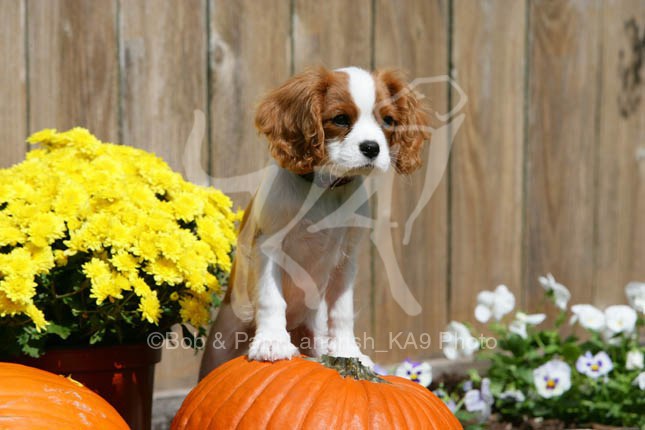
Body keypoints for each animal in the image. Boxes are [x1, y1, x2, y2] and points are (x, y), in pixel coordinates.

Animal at [200, 66, 429, 378]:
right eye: (341, 119)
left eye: (388, 121)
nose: (372, 148)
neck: (325, 188)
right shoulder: (268, 245)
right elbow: (272, 297)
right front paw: (272, 342)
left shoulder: (347, 259)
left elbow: (342, 310)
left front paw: (348, 352)